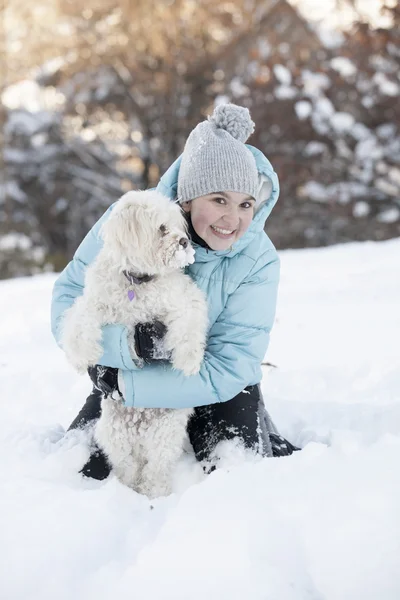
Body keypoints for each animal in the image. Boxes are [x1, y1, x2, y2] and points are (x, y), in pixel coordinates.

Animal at [61, 191, 209, 496]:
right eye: (162, 229)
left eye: (178, 227)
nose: (184, 241)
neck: (137, 282)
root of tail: (139, 431)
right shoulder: (94, 302)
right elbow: (79, 321)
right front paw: (83, 355)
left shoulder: (182, 300)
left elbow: (189, 325)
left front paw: (189, 360)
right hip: (113, 435)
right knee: (127, 467)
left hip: (165, 435)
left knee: (155, 471)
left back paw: (153, 493)